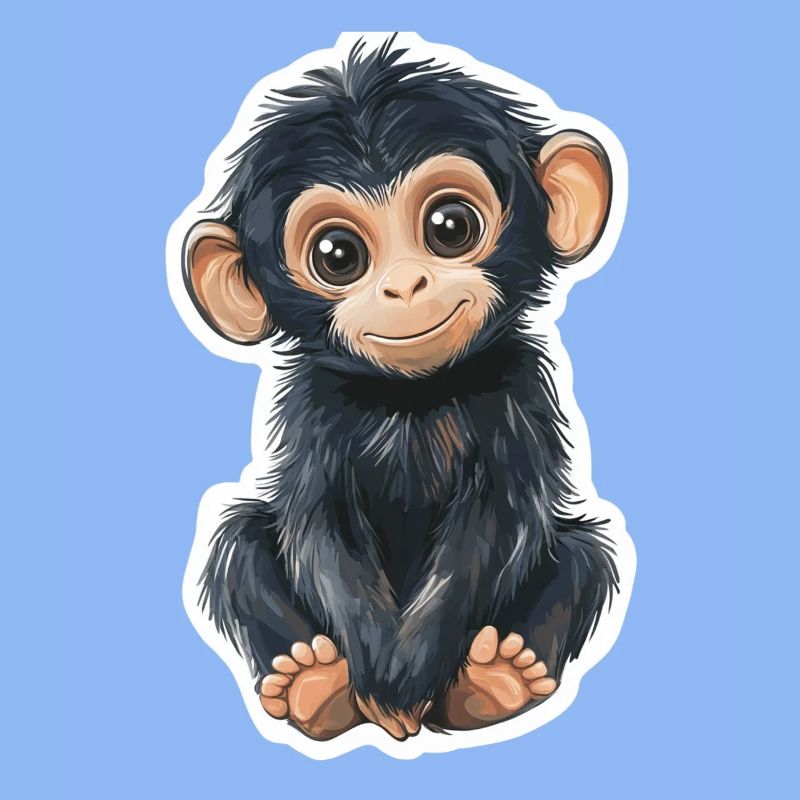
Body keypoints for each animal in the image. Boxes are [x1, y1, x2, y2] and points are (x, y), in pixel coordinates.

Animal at [180, 36, 622, 743]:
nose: (405, 285)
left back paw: (495, 682)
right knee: (241, 542)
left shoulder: (517, 393)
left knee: (583, 556)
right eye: (337, 255)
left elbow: (496, 523)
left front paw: (408, 671)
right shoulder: (312, 412)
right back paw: (315, 684)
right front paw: (379, 675)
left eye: (450, 226)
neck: (410, 398)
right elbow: (319, 524)